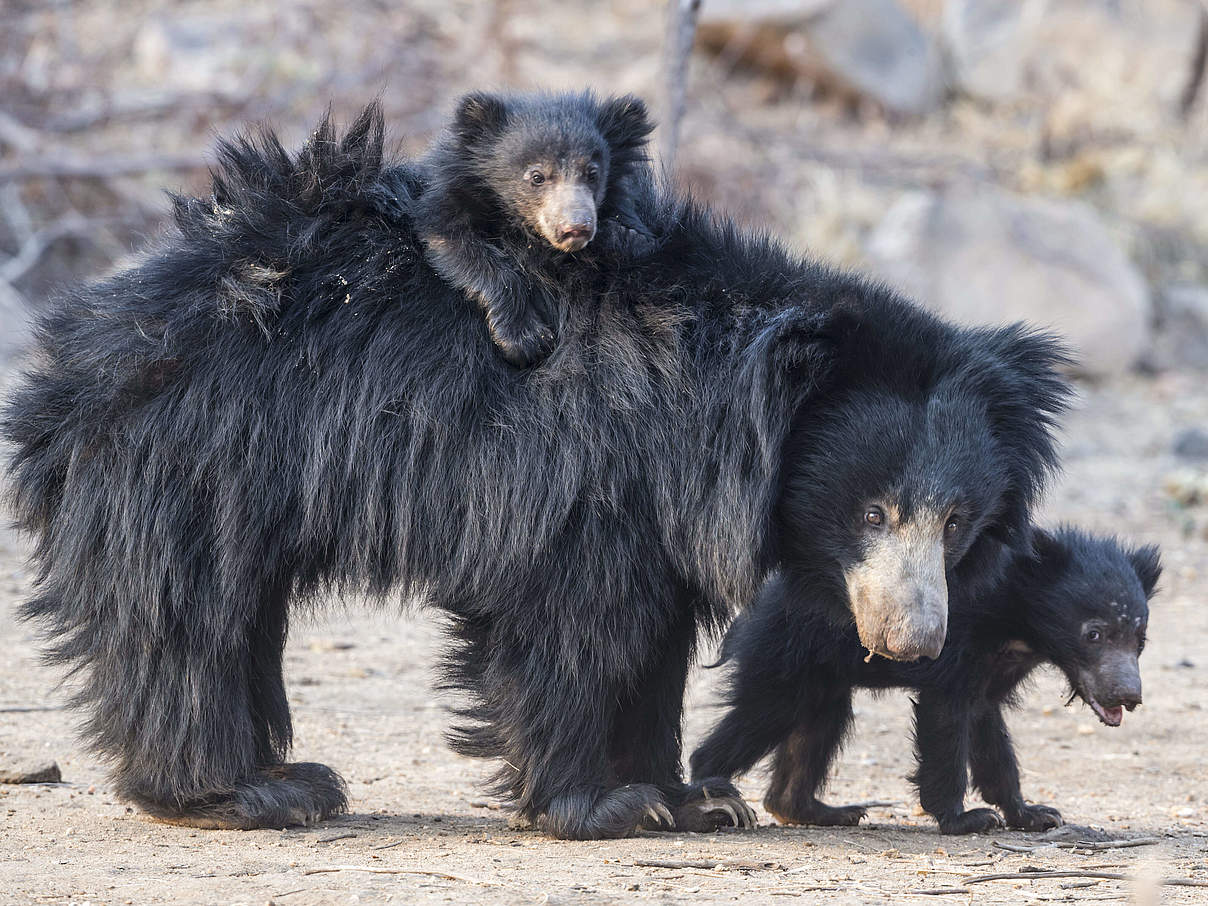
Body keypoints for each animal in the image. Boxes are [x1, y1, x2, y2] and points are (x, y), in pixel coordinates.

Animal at [4, 96, 1072, 840]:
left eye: (959, 521)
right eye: (873, 512)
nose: (913, 643)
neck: (722, 422)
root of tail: (81, 347)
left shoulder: (661, 514)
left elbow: (654, 642)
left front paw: (693, 800)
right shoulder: (588, 472)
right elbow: (572, 624)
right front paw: (603, 805)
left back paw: (287, 776)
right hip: (197, 459)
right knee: (189, 619)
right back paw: (240, 791)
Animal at [695, 531, 1154, 835]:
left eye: (1139, 639)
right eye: (1093, 633)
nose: (1129, 695)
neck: (1016, 618)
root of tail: (751, 603)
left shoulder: (993, 670)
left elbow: (990, 734)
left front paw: (1035, 813)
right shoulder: (955, 645)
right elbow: (945, 726)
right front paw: (967, 819)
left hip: (819, 674)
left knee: (817, 725)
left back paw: (821, 810)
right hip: (785, 652)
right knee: (761, 716)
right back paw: (714, 792)